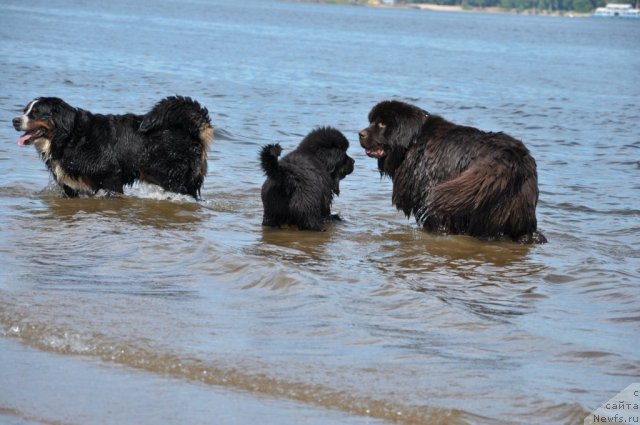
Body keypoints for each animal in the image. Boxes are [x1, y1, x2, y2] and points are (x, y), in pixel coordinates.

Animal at [12, 96, 214, 199]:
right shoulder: (72, 186)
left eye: (36, 113)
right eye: (24, 111)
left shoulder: (110, 176)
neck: (70, 137)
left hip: (174, 180)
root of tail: (192, 133)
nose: (15, 120)